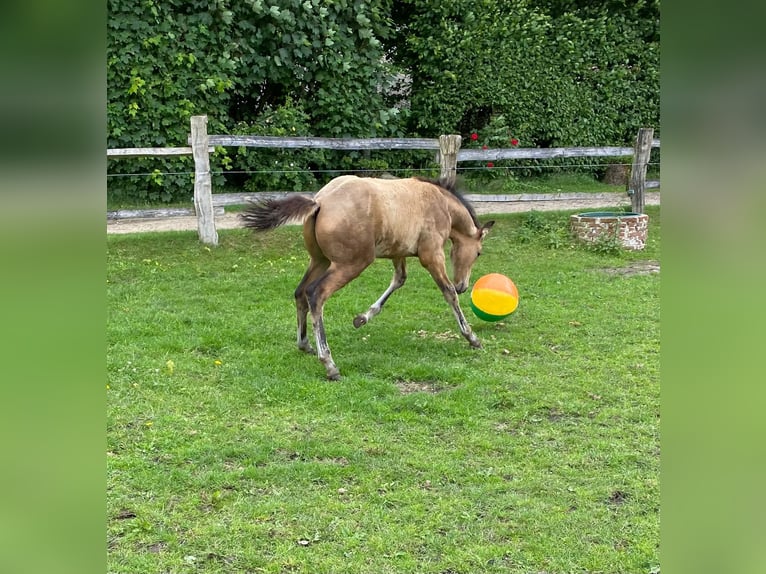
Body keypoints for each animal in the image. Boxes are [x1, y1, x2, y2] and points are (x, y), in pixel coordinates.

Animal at [246, 176, 498, 382]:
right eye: (478, 253)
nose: (463, 285)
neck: (441, 203)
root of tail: (320, 201)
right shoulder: (432, 255)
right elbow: (448, 293)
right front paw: (471, 337)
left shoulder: (398, 252)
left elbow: (399, 280)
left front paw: (362, 318)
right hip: (352, 264)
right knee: (316, 294)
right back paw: (329, 363)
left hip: (319, 260)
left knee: (300, 293)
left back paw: (304, 344)